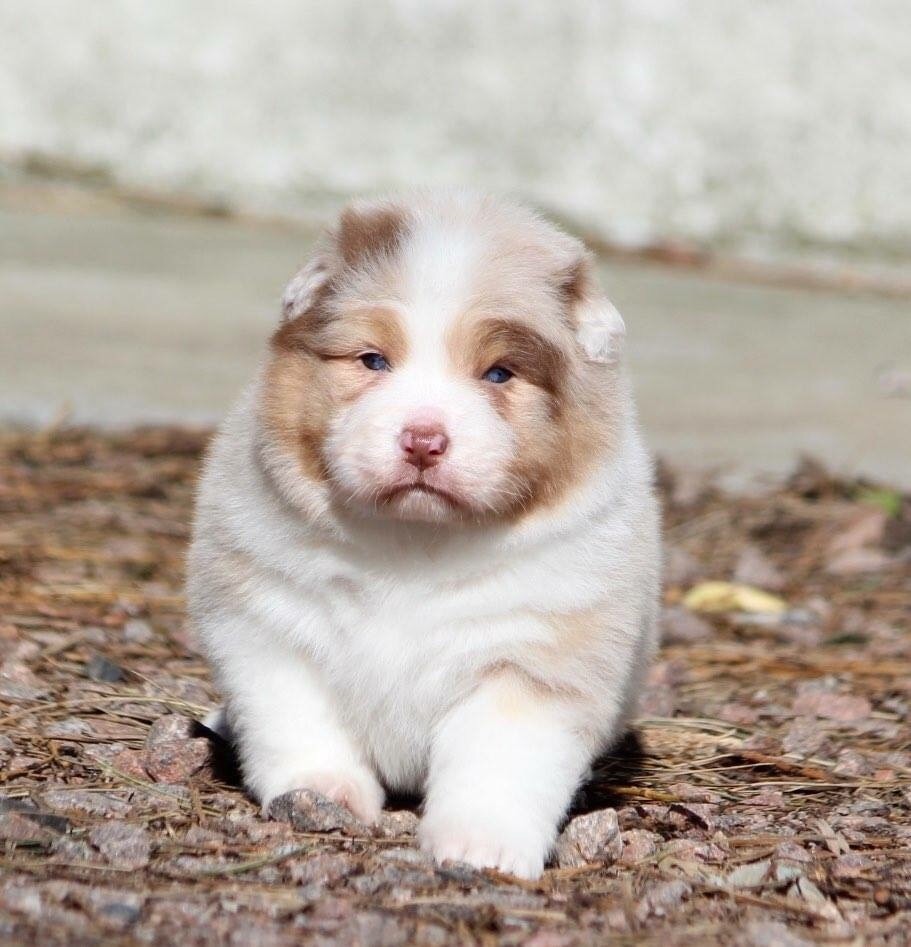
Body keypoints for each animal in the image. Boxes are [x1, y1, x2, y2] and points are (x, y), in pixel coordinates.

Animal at [188, 191, 660, 878]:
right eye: (373, 361)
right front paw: (322, 794)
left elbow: (497, 760)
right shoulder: (270, 627)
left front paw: (480, 847)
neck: (414, 543)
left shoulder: (530, 664)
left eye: (498, 375)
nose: (423, 440)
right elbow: (300, 720)